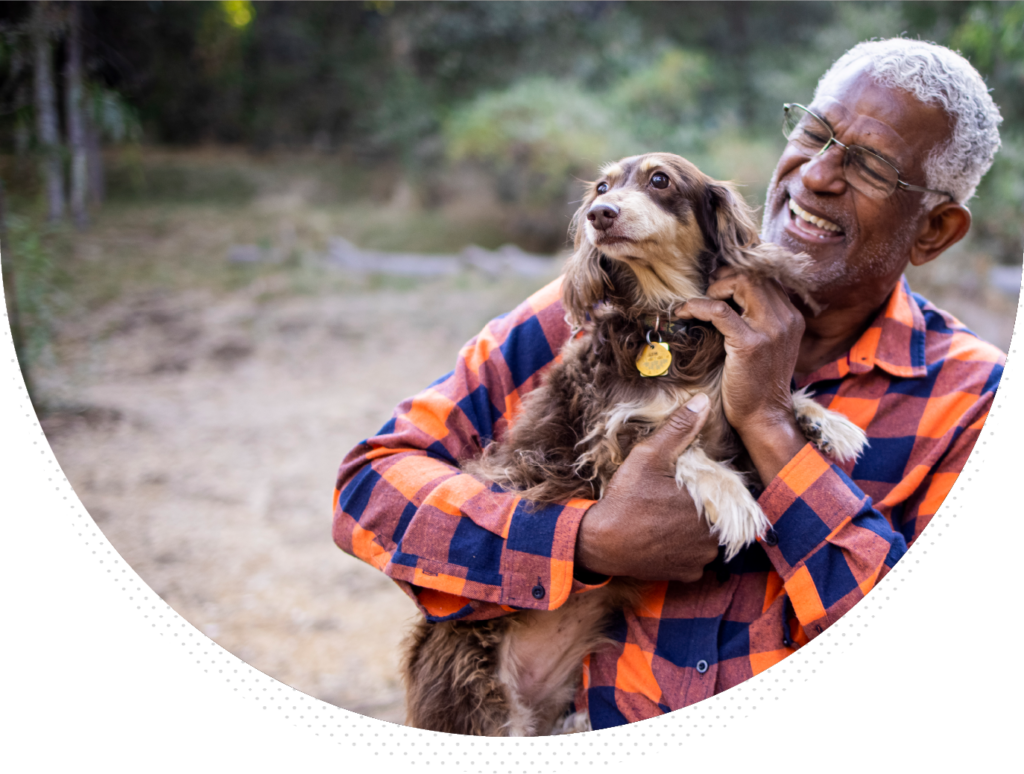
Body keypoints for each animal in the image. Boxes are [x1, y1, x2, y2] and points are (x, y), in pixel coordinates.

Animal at [399, 152, 864, 737]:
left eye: (659, 179)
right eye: (601, 187)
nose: (600, 214)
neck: (668, 322)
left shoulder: (733, 398)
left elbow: (764, 405)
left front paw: (825, 420)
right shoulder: (608, 440)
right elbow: (686, 448)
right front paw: (735, 499)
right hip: (479, 694)